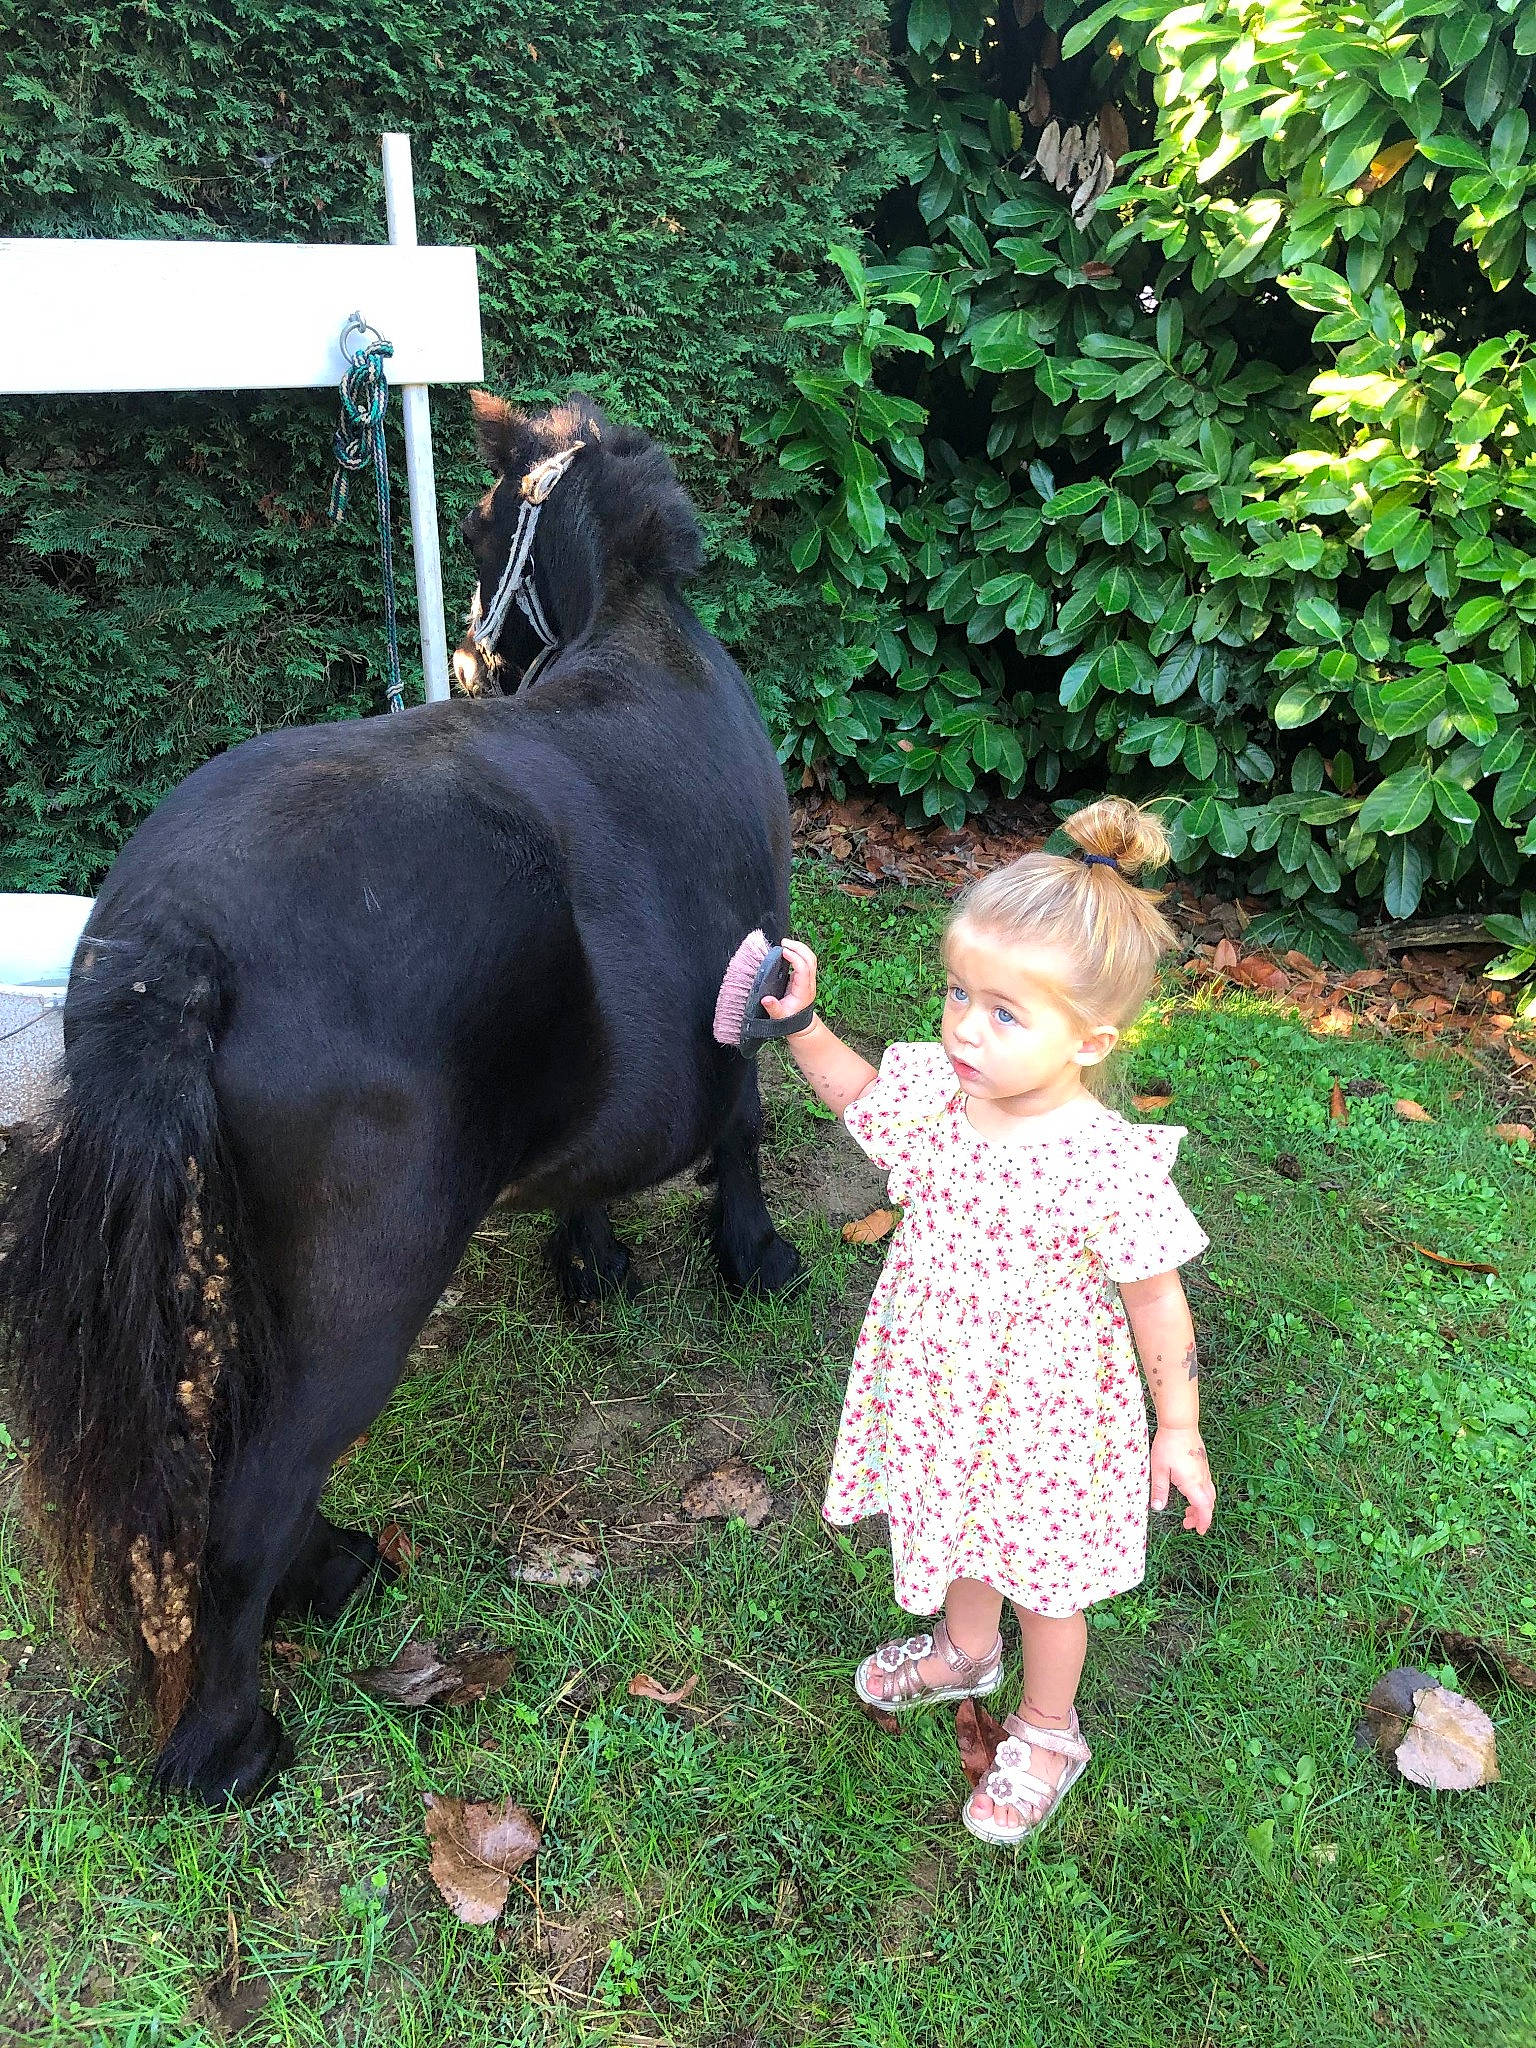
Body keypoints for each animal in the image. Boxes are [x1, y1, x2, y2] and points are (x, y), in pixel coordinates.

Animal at [0, 394, 800, 1804]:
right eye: (477, 531)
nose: (482, 658)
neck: (645, 633)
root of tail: (177, 934)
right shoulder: (750, 993)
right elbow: (744, 1128)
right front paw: (752, 1254)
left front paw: (594, 1262)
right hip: (363, 1286)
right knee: (248, 1496)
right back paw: (230, 1741)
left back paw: (320, 1576)